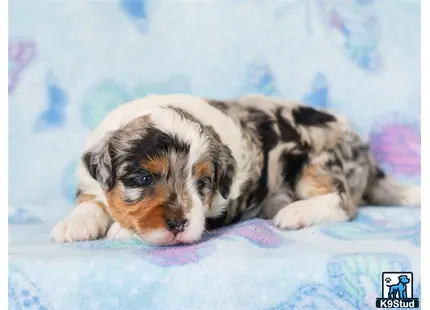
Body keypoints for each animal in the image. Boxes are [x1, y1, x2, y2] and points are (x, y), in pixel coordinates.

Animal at [50, 94, 420, 245]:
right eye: (142, 178)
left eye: (203, 182)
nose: (178, 224)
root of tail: (365, 153)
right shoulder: (90, 179)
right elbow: (90, 201)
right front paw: (73, 225)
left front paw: (121, 230)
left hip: (317, 162)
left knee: (343, 203)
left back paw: (294, 213)